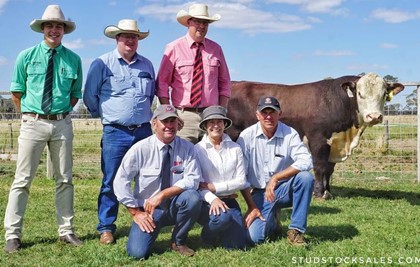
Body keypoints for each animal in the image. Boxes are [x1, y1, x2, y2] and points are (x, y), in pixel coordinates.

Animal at [226, 72, 404, 200]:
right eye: (360, 94)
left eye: (384, 94)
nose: (374, 116)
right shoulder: (318, 139)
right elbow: (319, 166)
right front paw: (318, 193)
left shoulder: (334, 143)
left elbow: (329, 169)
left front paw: (328, 192)